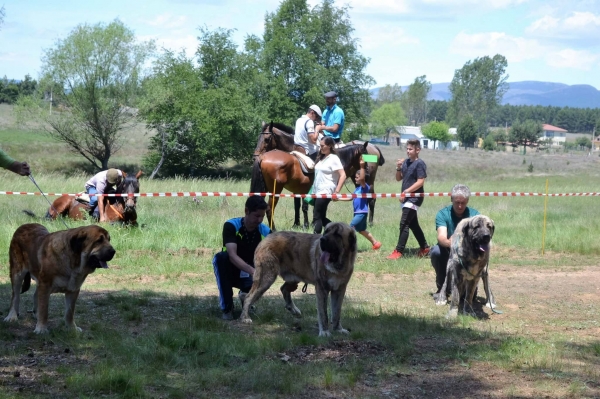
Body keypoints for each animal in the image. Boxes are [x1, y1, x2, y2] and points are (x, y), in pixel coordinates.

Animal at [252, 122, 384, 227]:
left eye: (267, 139)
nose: (367, 172)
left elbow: (305, 206)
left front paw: (305, 224)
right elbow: (305, 206)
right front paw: (305, 224)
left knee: (370, 198)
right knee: (269, 209)